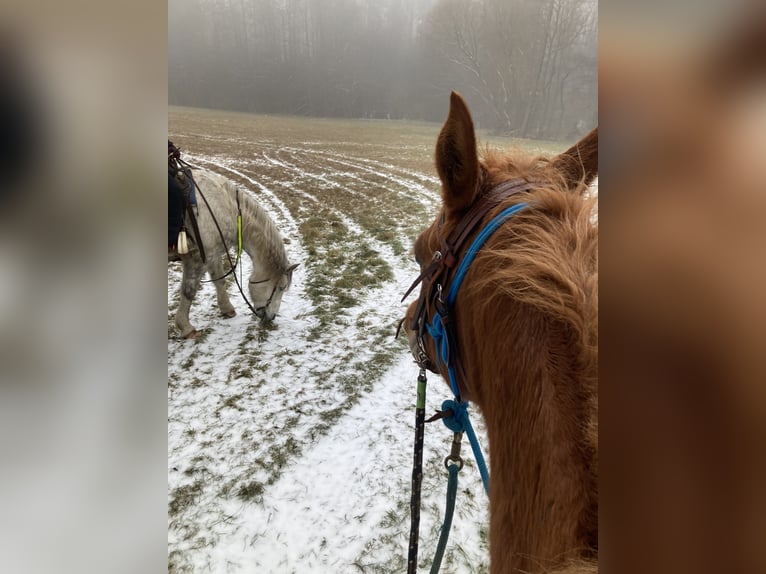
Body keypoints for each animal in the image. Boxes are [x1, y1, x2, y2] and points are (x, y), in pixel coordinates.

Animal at [170, 166, 298, 338]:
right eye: (281, 287)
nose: (271, 317)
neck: (224, 207)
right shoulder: (196, 259)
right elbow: (189, 291)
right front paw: (185, 327)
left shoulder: (212, 254)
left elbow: (219, 280)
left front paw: (227, 308)